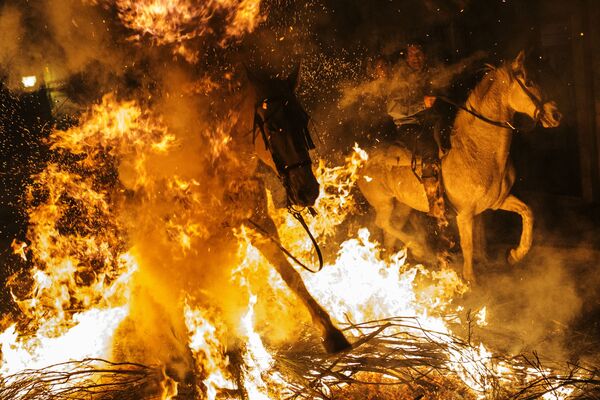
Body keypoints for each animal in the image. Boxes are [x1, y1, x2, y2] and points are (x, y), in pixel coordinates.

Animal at [360, 51, 564, 282]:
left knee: (390, 232)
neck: (476, 151)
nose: (555, 115)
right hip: (383, 203)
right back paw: (419, 248)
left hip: (402, 205)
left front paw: (515, 254)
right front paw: (470, 278)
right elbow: (468, 245)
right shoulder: (464, 214)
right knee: (382, 223)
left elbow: (527, 213)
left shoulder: (497, 201)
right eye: (529, 82)